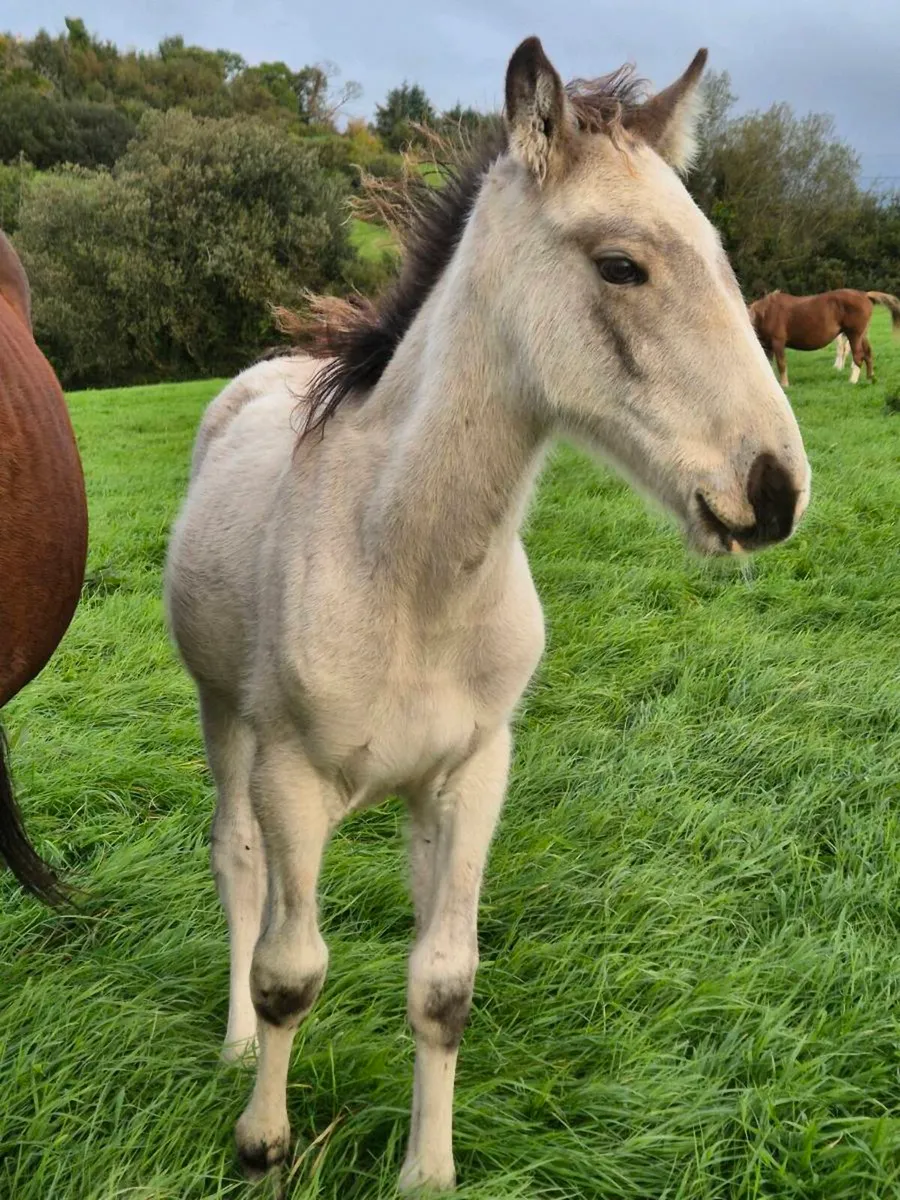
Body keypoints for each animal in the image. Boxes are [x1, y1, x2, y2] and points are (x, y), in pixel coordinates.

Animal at [164, 37, 811, 1193]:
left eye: (726, 260)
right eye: (620, 266)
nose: (776, 491)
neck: (406, 568)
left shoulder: (472, 775)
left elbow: (443, 987)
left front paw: (428, 1171)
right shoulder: (293, 777)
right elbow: (293, 972)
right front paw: (264, 1140)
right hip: (222, 717)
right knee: (235, 858)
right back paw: (236, 1042)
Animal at [748, 287, 900, 387]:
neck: (766, 313)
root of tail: (865, 295)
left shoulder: (778, 342)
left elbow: (781, 364)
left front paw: (784, 385)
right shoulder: (767, 346)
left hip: (854, 335)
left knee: (858, 356)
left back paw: (852, 381)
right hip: (861, 336)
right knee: (868, 354)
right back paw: (870, 378)